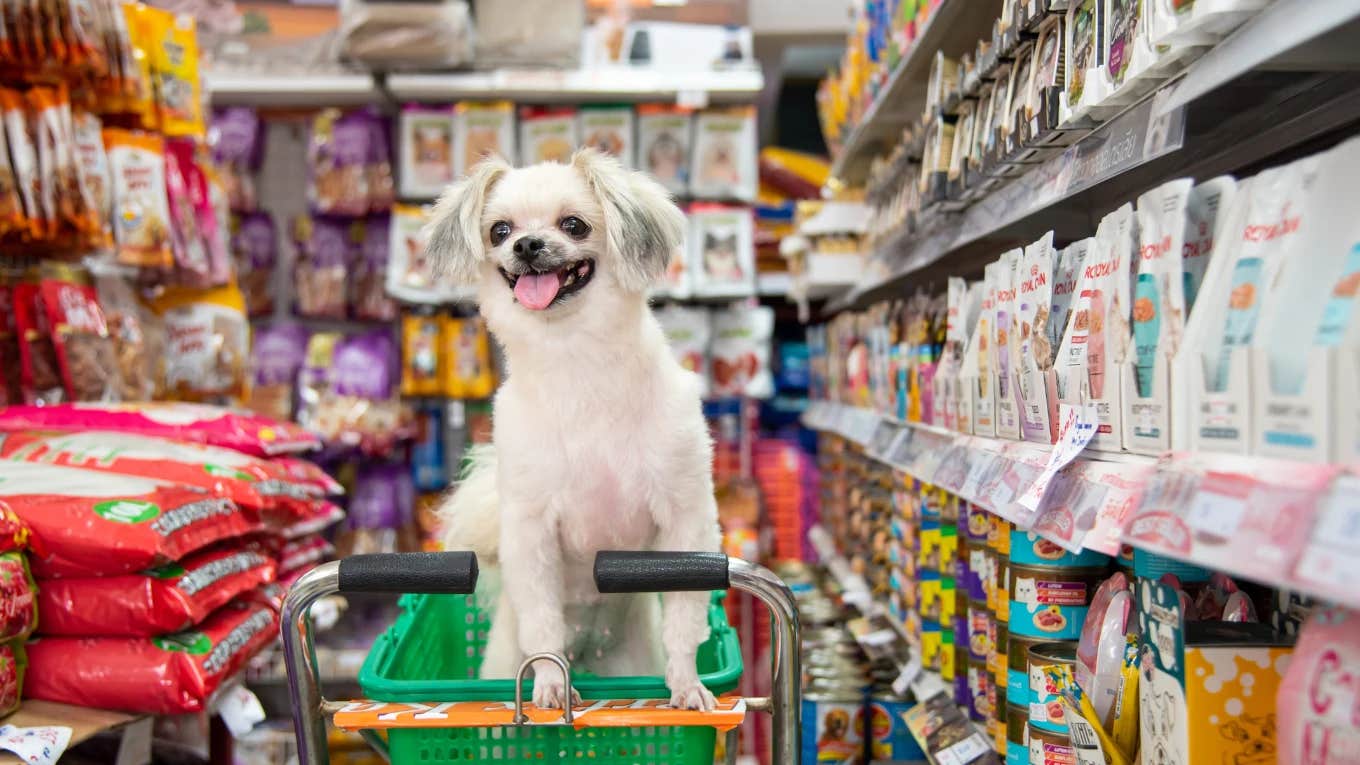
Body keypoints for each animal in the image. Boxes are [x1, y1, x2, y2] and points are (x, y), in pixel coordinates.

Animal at [427, 147, 723, 707]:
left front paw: (687, 682)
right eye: (499, 230)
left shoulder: (686, 519)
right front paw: (548, 683)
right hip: (502, 659)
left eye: (574, 224)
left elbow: (684, 615)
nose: (526, 244)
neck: (576, 361)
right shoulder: (531, 532)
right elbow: (543, 620)